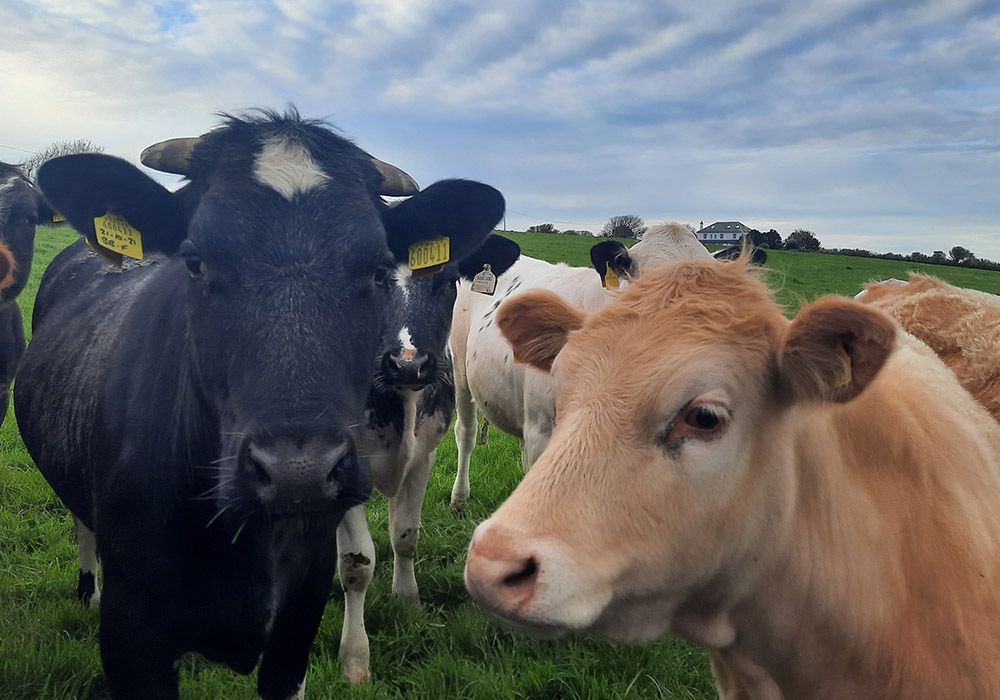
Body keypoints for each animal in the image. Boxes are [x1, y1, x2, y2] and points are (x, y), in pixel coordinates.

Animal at [336, 235, 520, 682]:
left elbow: (405, 536)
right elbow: (356, 565)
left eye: (448, 278)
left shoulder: (422, 457)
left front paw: (407, 599)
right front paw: (355, 658)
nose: (408, 363)